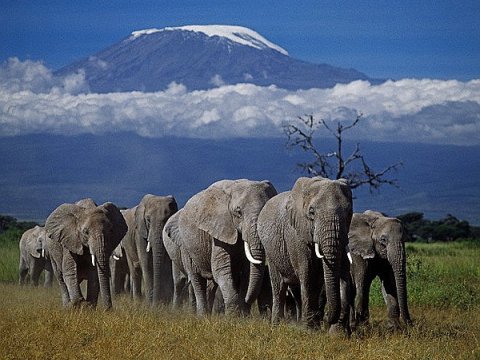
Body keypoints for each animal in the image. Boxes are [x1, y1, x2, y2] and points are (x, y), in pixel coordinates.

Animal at [175, 179, 278, 314]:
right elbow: (221, 268)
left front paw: (243, 314)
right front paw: (232, 316)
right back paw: (203, 315)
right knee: (196, 279)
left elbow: (247, 272)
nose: (247, 300)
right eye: (238, 212)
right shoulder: (219, 230)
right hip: (186, 246)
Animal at [258, 177, 352, 334]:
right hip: (271, 251)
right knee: (279, 287)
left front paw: (336, 334)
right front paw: (310, 331)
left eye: (349, 212)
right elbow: (308, 276)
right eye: (312, 212)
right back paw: (277, 326)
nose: (327, 317)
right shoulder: (296, 235)